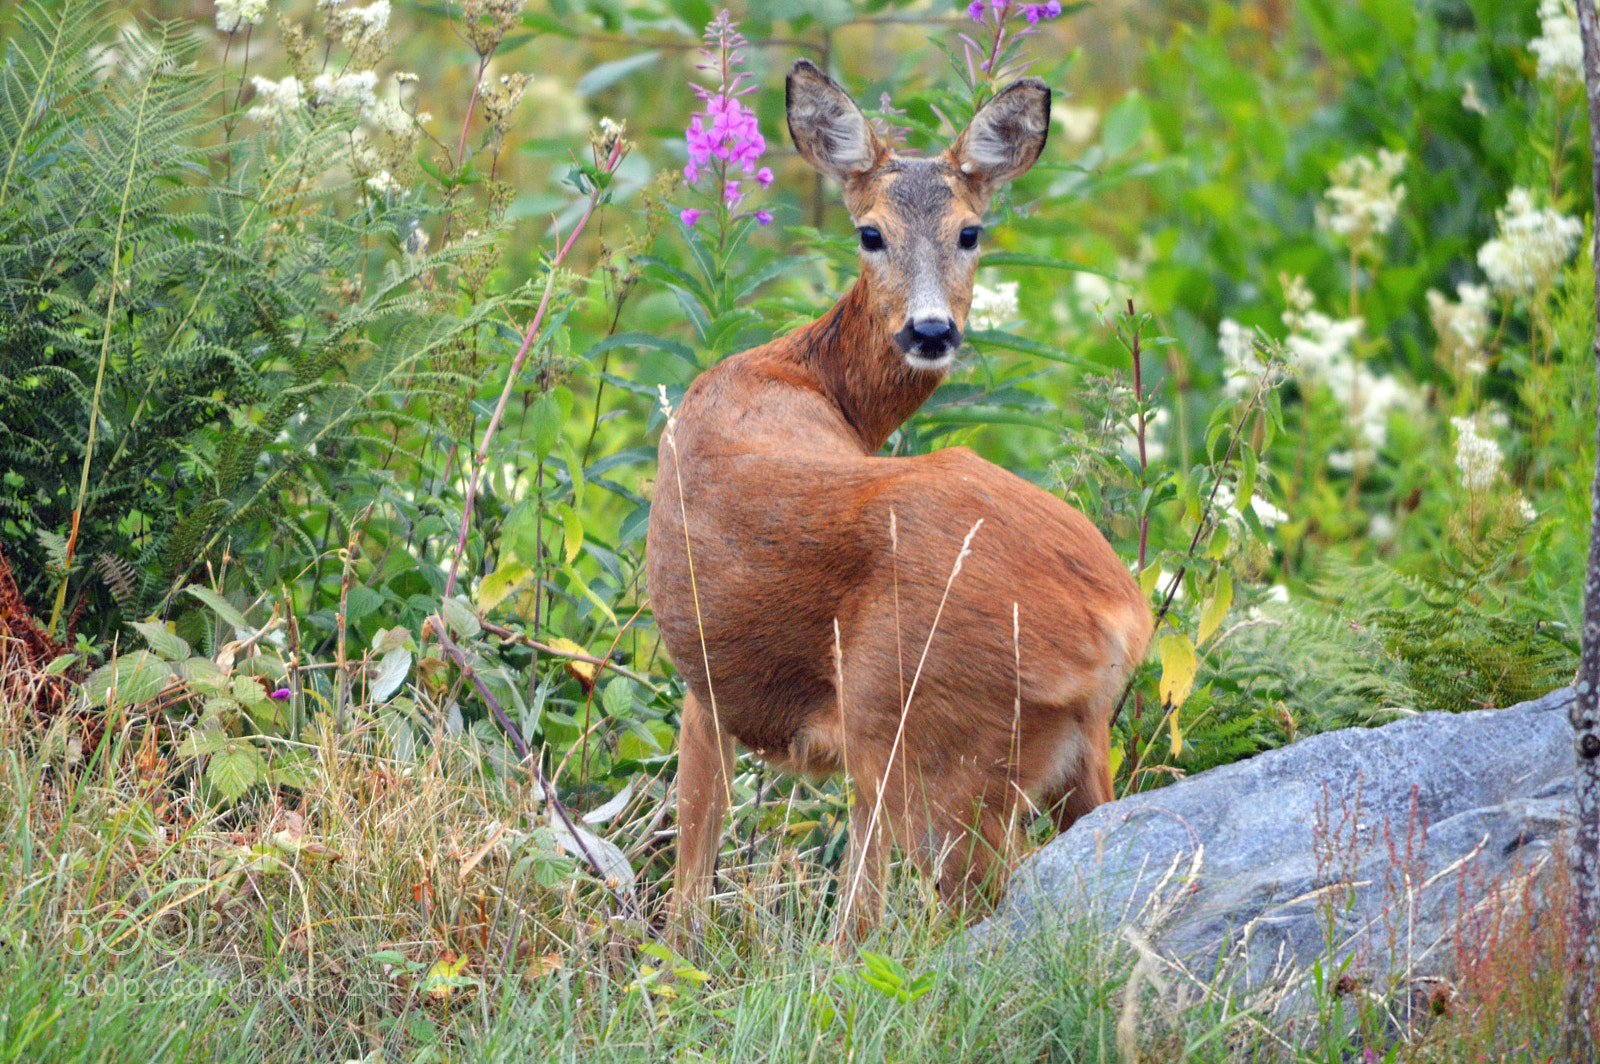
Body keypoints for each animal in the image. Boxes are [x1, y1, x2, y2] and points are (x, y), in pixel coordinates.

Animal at [646, 59, 1153, 933]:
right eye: (870, 232)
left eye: (971, 232)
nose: (930, 331)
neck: (800, 377)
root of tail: (1115, 621)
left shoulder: (702, 684)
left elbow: (690, 883)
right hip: (1054, 754)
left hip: (932, 735)